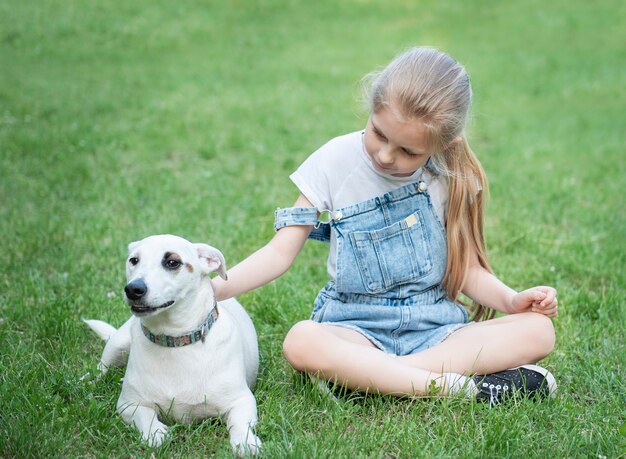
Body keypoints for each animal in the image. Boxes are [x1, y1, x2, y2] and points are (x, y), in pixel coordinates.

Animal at [84, 237, 260, 456]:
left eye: (172, 262)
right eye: (134, 260)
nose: (133, 289)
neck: (174, 341)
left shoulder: (241, 400)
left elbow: (240, 422)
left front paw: (245, 441)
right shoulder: (128, 404)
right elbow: (144, 416)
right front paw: (154, 433)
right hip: (117, 344)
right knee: (101, 369)